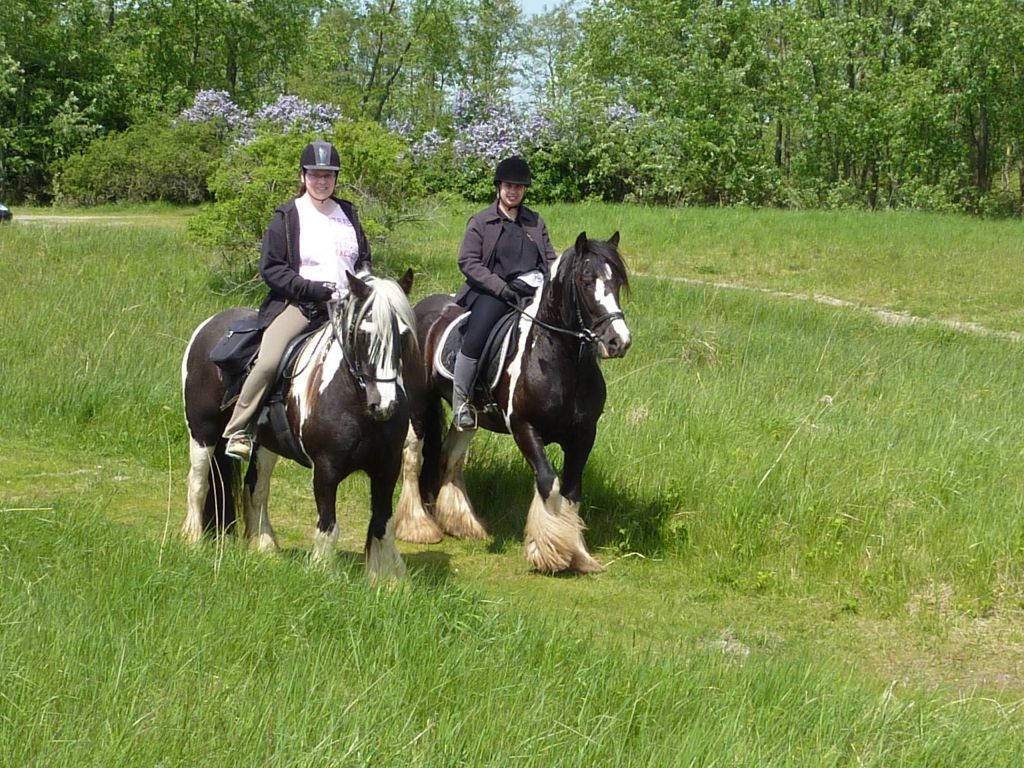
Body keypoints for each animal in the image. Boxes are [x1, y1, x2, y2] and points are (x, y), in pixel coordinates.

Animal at [181, 270, 418, 582]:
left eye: (403, 334)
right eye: (365, 334)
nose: (385, 405)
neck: (355, 402)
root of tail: (207, 327)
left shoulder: (387, 468)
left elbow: (383, 524)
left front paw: (390, 578)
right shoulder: (326, 470)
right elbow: (329, 526)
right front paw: (322, 570)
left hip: (265, 446)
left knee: (256, 488)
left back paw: (266, 545)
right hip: (203, 431)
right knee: (199, 482)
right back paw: (193, 540)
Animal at [394, 232, 631, 574]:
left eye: (617, 282)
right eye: (586, 281)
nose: (618, 342)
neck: (559, 362)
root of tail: (420, 309)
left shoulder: (584, 435)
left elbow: (572, 490)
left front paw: (579, 555)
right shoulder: (525, 428)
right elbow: (548, 482)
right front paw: (547, 552)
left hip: (468, 417)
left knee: (450, 456)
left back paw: (463, 523)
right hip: (418, 404)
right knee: (413, 456)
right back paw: (418, 526)